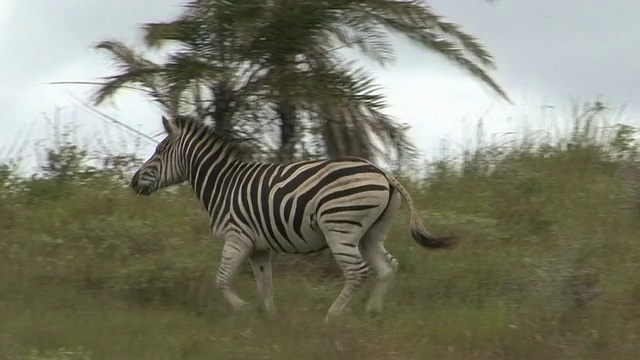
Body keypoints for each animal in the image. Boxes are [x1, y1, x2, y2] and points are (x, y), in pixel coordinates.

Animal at [130, 116, 456, 324]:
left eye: (159, 151)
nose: (132, 182)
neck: (223, 183)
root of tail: (384, 173)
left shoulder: (237, 236)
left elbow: (221, 280)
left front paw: (242, 309)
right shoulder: (259, 247)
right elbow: (265, 285)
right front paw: (271, 319)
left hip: (340, 228)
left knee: (357, 272)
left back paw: (332, 316)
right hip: (370, 233)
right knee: (387, 267)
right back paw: (373, 313)